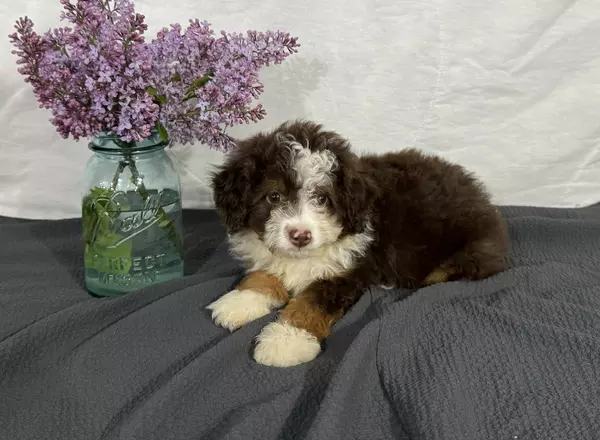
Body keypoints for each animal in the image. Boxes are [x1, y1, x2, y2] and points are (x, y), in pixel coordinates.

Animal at [206, 118, 506, 366]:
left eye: (322, 198)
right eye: (274, 196)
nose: (300, 236)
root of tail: (481, 197)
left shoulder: (345, 273)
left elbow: (311, 303)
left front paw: (286, 341)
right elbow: (264, 274)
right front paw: (241, 301)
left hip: (471, 246)